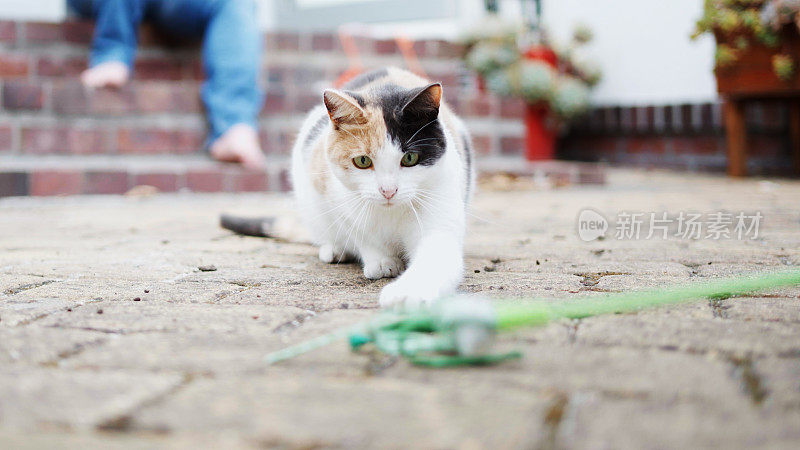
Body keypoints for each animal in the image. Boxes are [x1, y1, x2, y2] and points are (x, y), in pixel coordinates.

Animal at [290, 67, 472, 308]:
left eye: (410, 158)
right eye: (363, 161)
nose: (388, 191)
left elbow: (435, 257)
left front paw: (407, 292)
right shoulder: (334, 196)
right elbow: (360, 234)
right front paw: (382, 261)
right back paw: (335, 250)